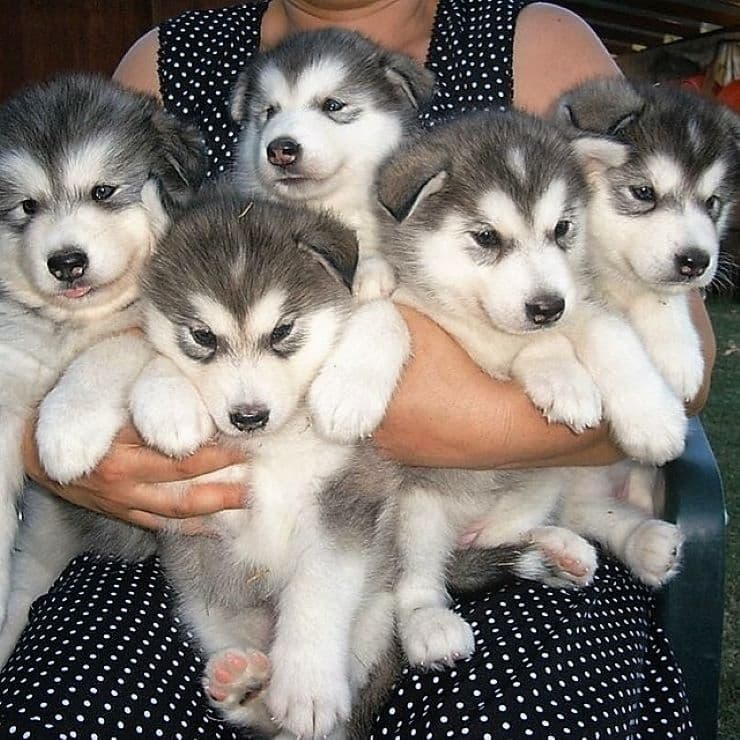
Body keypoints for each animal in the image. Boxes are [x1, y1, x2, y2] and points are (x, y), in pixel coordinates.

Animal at [0, 73, 205, 632]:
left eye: (103, 191)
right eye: (27, 207)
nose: (66, 261)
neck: (75, 323)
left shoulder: (139, 325)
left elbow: (110, 350)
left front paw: (67, 428)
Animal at [310, 111, 688, 672]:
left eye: (562, 229)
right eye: (486, 237)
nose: (547, 306)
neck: (481, 325)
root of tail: (471, 530)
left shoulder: (579, 305)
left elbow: (606, 333)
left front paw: (648, 415)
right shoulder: (399, 300)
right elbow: (384, 317)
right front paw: (347, 394)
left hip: (543, 481)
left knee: (536, 528)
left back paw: (582, 548)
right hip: (415, 511)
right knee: (419, 579)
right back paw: (430, 623)